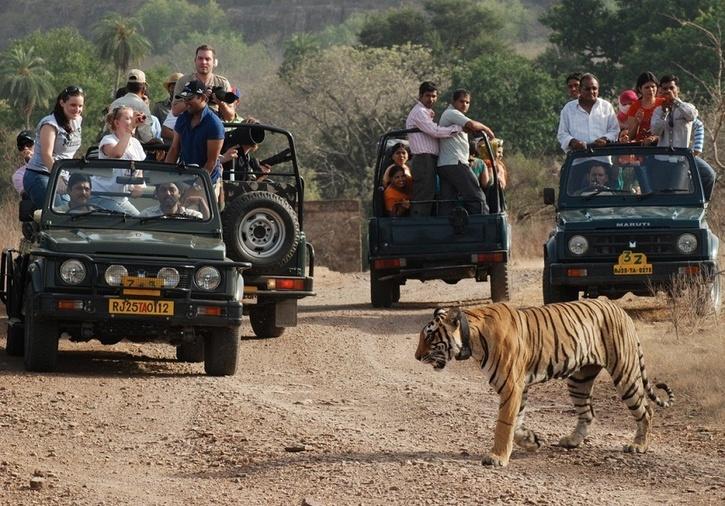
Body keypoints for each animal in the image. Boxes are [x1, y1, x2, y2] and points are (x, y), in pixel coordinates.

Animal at [412, 298, 672, 468]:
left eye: (429, 336)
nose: (416, 356)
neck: (472, 339)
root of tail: (620, 309)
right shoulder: (519, 388)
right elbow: (516, 424)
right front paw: (531, 441)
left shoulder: (511, 386)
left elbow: (504, 424)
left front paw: (496, 457)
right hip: (579, 380)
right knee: (587, 413)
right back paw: (572, 441)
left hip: (624, 373)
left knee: (646, 410)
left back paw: (638, 446)